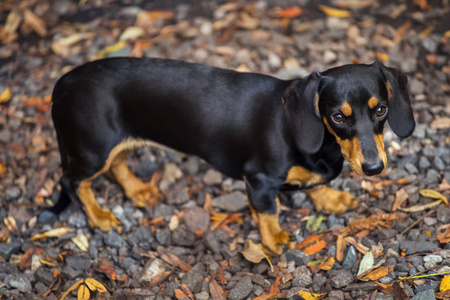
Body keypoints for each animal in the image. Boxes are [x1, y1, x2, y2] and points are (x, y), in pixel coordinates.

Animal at [42, 59, 414, 255]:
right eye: (338, 116)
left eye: (381, 110)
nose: (374, 168)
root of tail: (63, 82)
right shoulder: (258, 180)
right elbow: (268, 212)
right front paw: (274, 240)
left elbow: (316, 185)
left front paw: (329, 198)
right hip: (93, 150)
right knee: (72, 181)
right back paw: (99, 217)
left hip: (116, 143)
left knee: (117, 164)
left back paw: (137, 190)